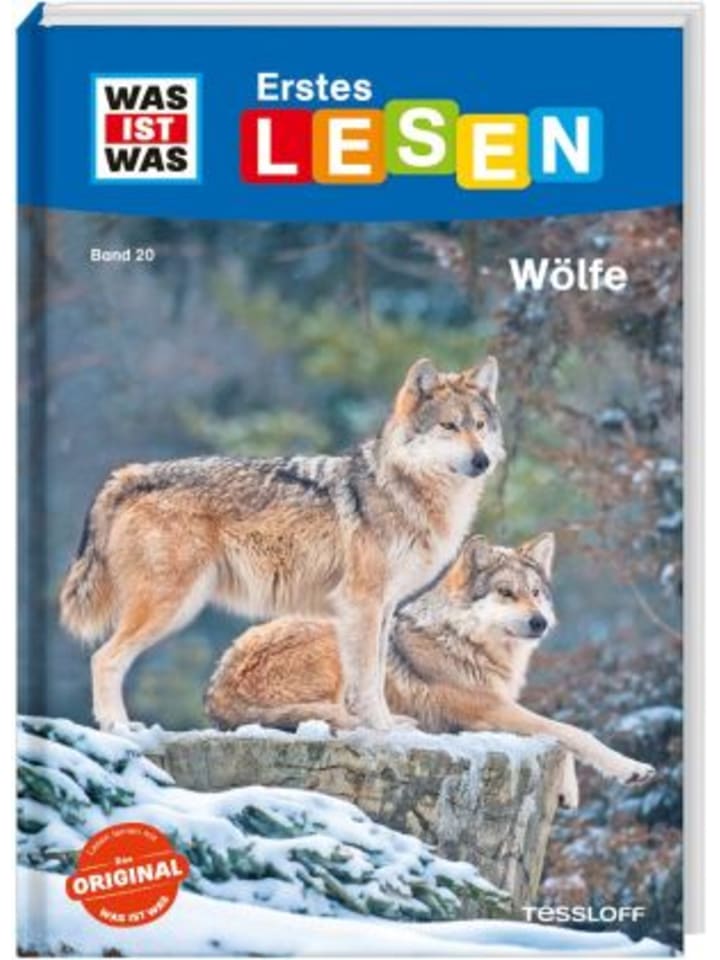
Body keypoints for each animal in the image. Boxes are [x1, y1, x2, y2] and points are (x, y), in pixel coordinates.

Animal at [60, 356, 504, 731]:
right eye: (449, 426)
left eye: (480, 425)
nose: (482, 461)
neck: (405, 489)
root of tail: (132, 473)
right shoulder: (361, 602)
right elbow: (366, 679)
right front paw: (382, 729)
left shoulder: (383, 606)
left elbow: (377, 673)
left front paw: (385, 723)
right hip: (172, 606)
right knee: (104, 658)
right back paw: (118, 727)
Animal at [205, 532, 655, 804]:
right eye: (505, 593)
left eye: (535, 593)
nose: (539, 622)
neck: (466, 642)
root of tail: (217, 691)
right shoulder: (489, 710)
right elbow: (571, 732)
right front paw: (631, 769)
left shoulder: (494, 711)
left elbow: (559, 735)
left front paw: (568, 791)